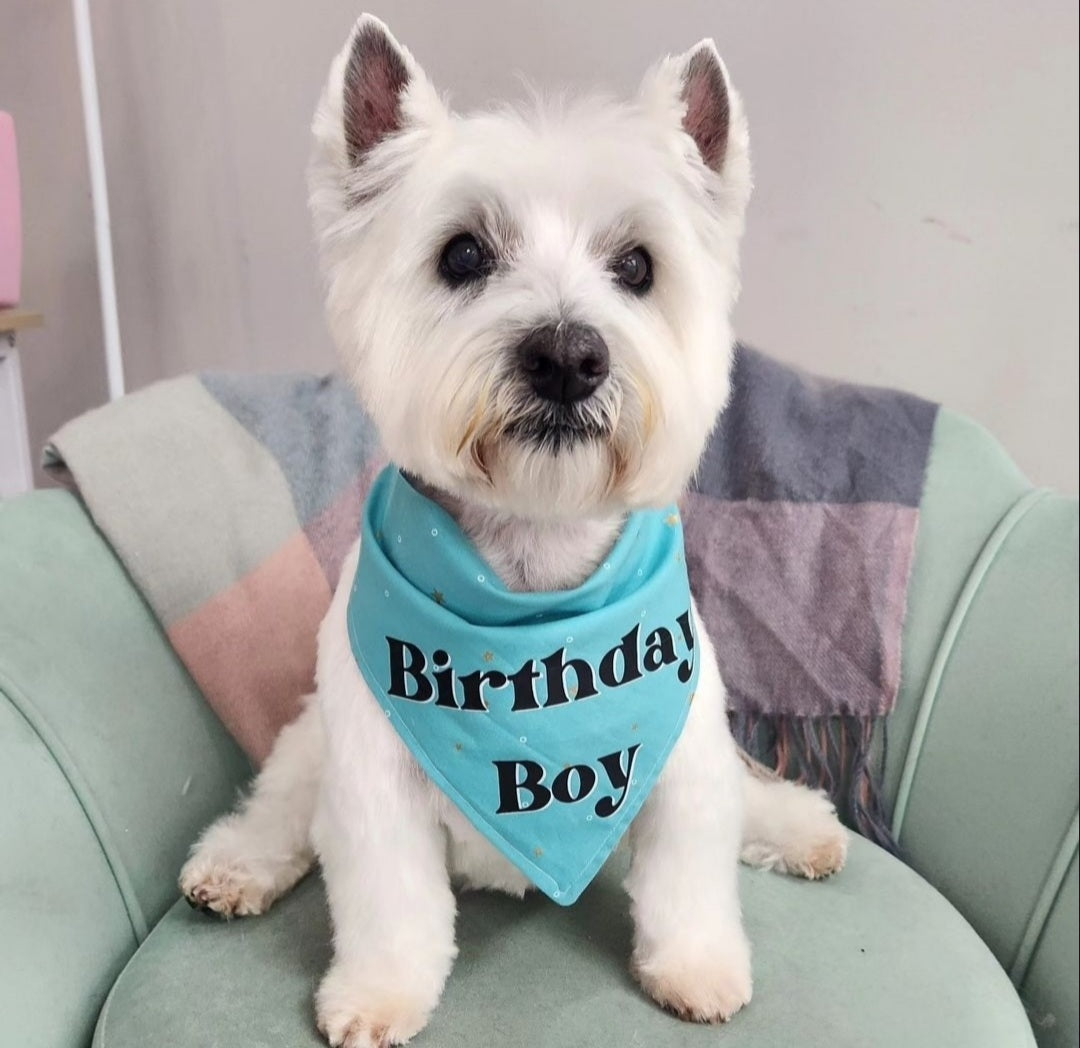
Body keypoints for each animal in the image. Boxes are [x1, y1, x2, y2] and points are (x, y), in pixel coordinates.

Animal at [181, 18, 846, 1045]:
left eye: (637, 267)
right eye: (461, 255)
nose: (568, 355)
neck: (534, 580)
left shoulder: (683, 752)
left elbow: (689, 868)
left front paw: (696, 965)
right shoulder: (373, 775)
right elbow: (391, 900)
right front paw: (378, 993)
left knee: (748, 799)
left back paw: (802, 828)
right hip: (314, 739)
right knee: (284, 799)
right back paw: (236, 863)